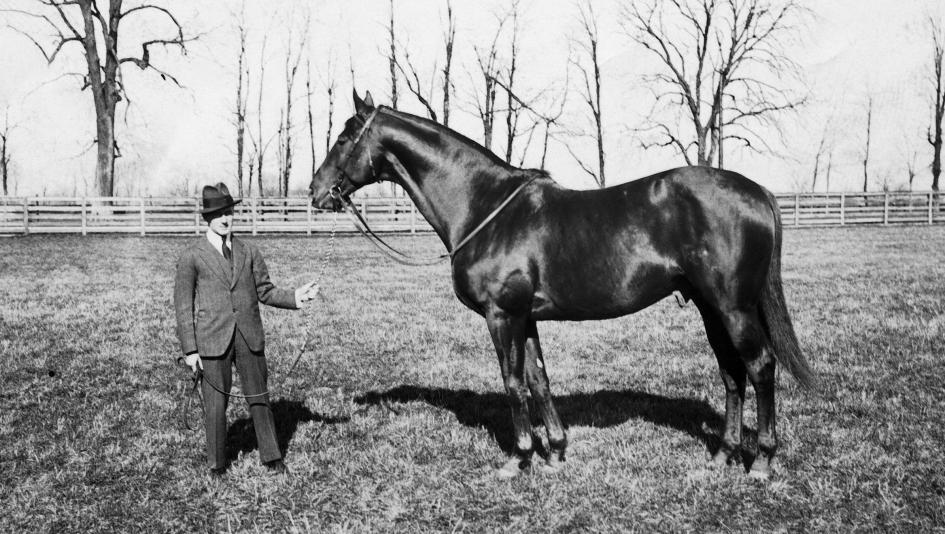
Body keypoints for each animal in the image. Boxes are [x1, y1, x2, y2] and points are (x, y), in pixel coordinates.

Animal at [308, 92, 812, 482]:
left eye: (344, 137)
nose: (315, 191)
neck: (484, 207)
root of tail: (758, 192)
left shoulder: (502, 315)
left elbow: (513, 382)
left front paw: (519, 460)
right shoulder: (525, 316)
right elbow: (539, 379)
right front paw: (555, 452)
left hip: (733, 307)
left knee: (760, 366)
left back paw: (761, 462)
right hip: (711, 308)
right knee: (732, 373)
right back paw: (723, 455)